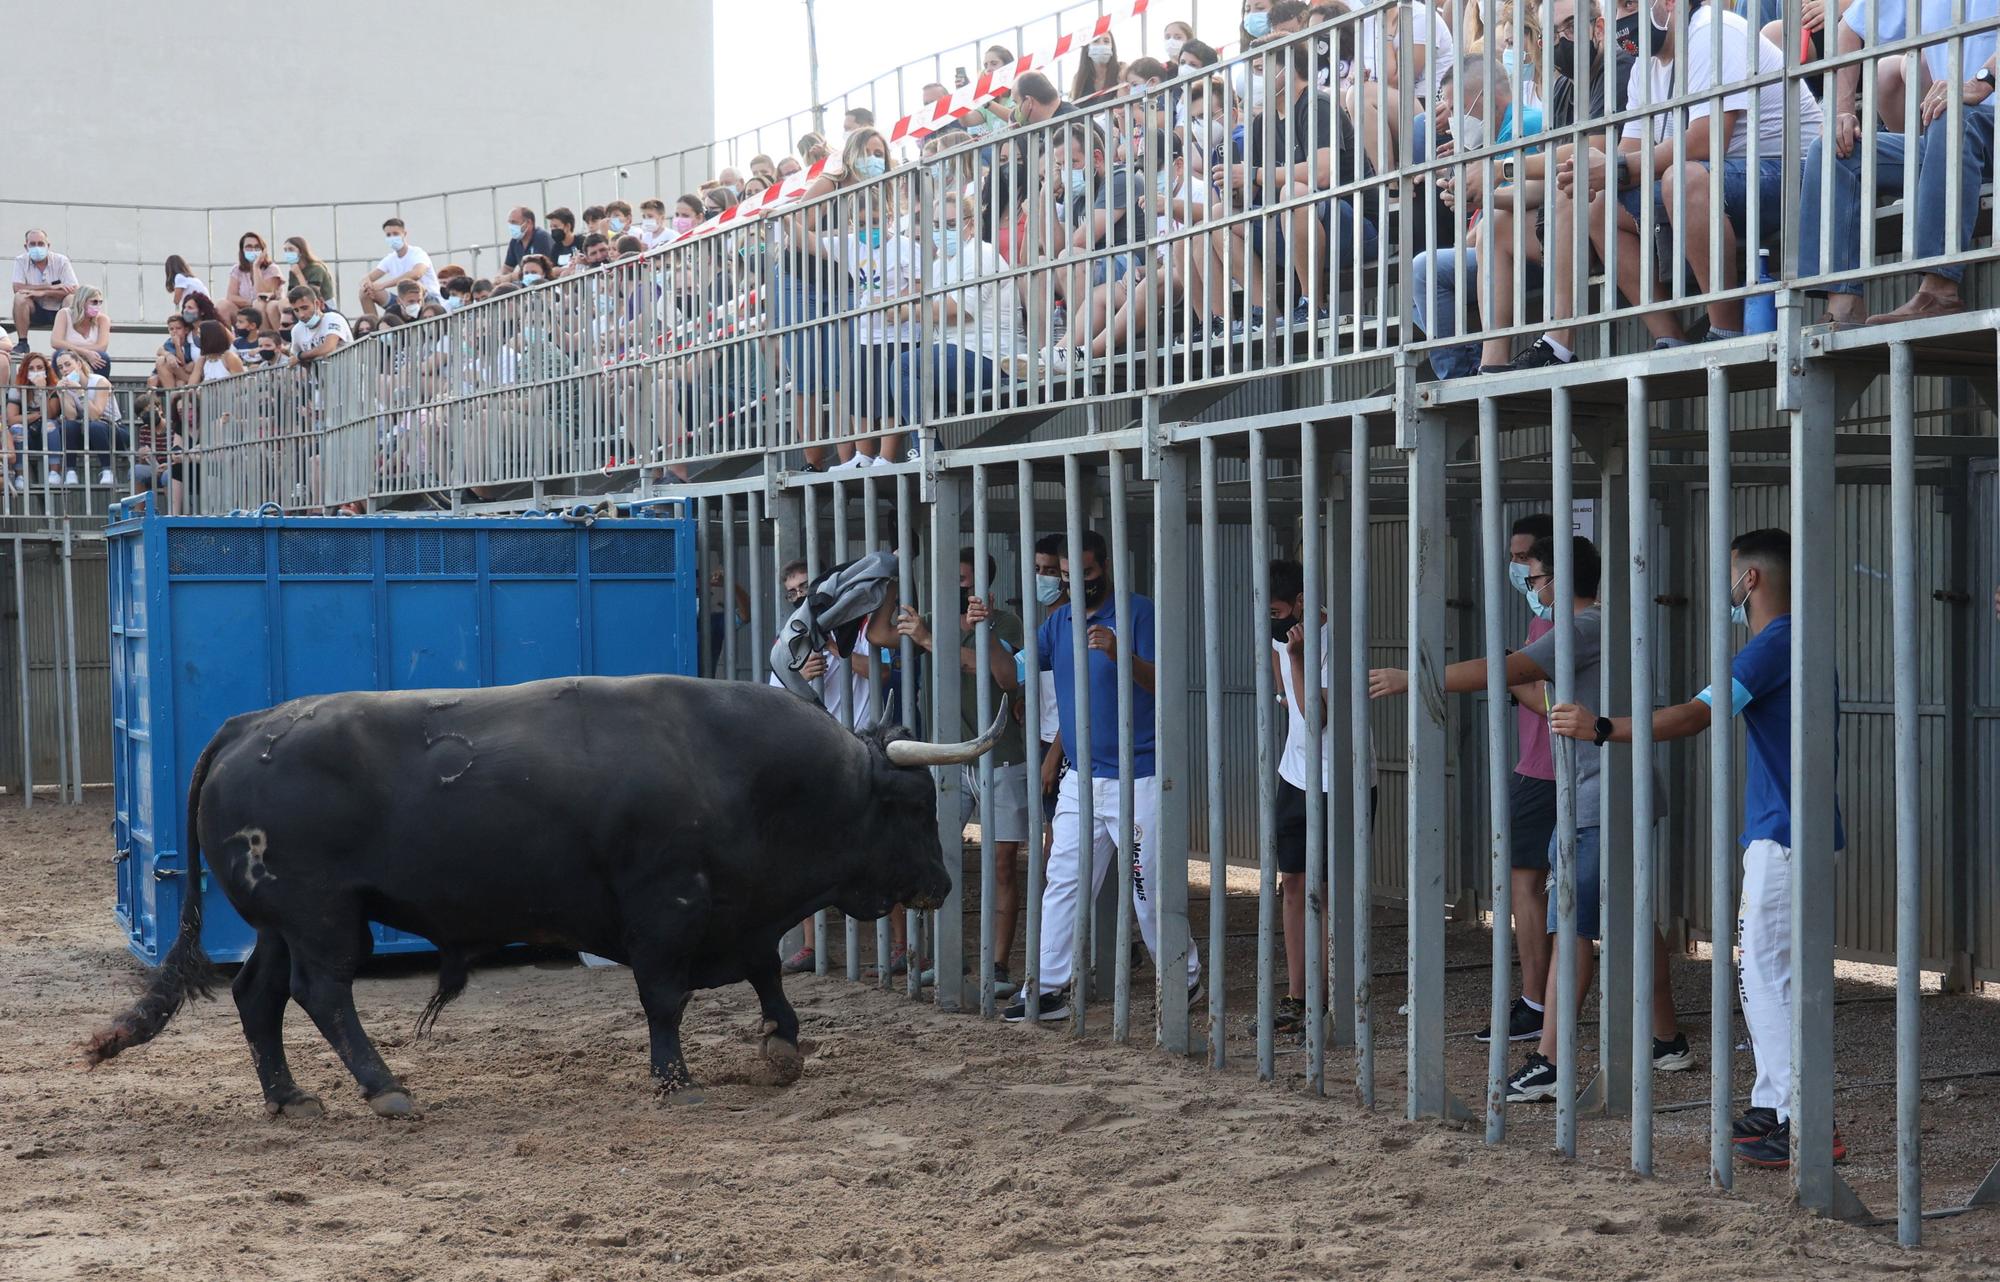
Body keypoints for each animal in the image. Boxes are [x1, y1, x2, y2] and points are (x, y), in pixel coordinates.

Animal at [86, 676, 1008, 1112]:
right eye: (910, 802)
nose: (939, 884)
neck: (734, 764)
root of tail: (247, 725)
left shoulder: (736, 912)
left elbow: (767, 975)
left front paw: (781, 1042)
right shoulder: (667, 907)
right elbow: (665, 998)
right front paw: (675, 1080)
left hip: (285, 920)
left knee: (258, 994)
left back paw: (288, 1097)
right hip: (320, 916)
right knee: (323, 993)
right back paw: (385, 1087)